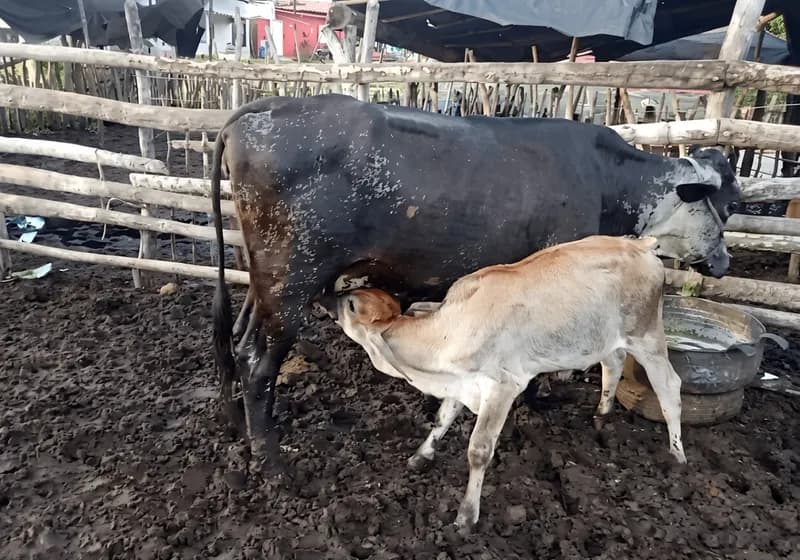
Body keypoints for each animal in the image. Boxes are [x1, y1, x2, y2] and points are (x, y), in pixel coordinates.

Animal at [210, 94, 739, 468]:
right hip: (291, 285)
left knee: (236, 339)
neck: (611, 183)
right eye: (729, 206)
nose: (724, 262)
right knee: (257, 364)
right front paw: (539, 399)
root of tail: (258, 110)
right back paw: (270, 459)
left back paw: (237, 426)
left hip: (265, 283)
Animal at [332, 235, 685, 534]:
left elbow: (478, 450)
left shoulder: (502, 386)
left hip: (647, 336)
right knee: (612, 363)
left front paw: (466, 517)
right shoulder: (463, 384)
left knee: (670, 388)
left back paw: (677, 457)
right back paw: (601, 414)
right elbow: (441, 419)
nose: (331, 300)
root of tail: (639, 244)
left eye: (351, 306)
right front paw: (421, 456)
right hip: (604, 338)